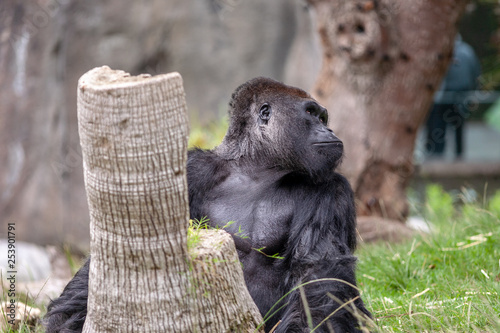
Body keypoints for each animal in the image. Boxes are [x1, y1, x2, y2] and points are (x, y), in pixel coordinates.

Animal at [44, 77, 372, 332]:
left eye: (323, 118)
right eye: (311, 113)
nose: (330, 131)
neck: (257, 167)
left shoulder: (331, 188)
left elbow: (319, 274)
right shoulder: (192, 170)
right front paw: (67, 318)